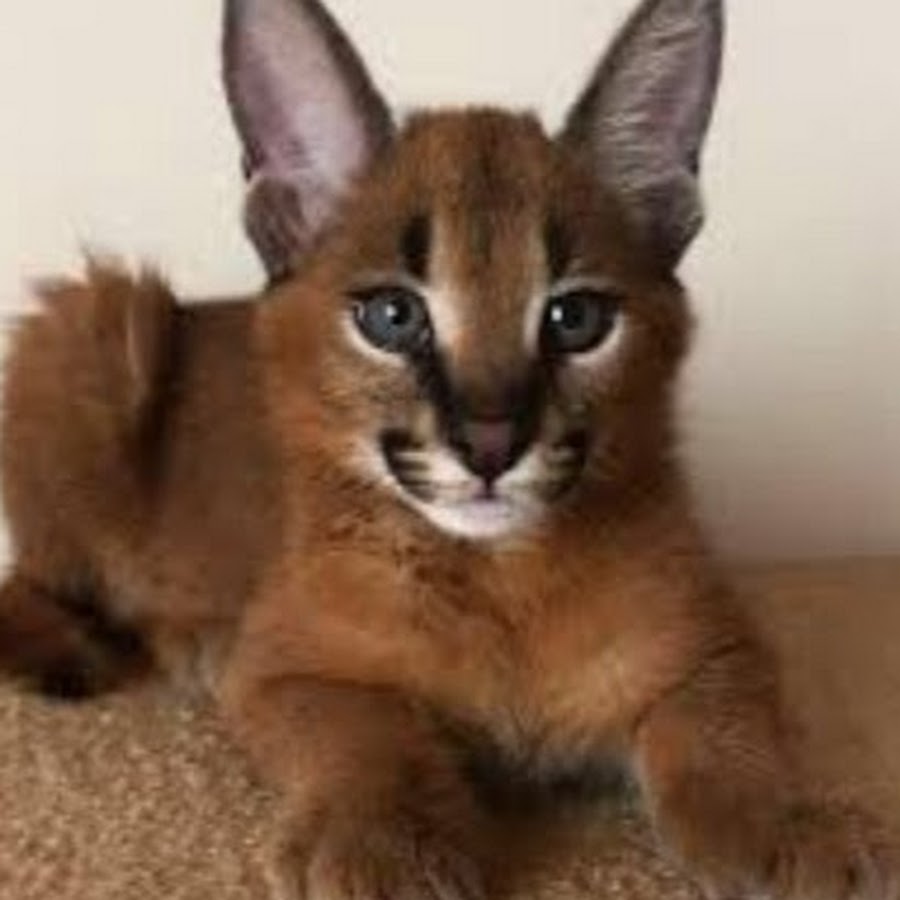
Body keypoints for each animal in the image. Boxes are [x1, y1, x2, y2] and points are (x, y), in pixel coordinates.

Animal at [1, 1, 895, 899]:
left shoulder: (715, 647)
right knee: (38, 577)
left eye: (577, 319)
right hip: (96, 319)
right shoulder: (289, 667)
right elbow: (368, 731)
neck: (503, 576)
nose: (491, 444)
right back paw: (148, 640)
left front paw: (785, 826)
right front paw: (387, 840)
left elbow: (728, 736)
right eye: (392, 317)